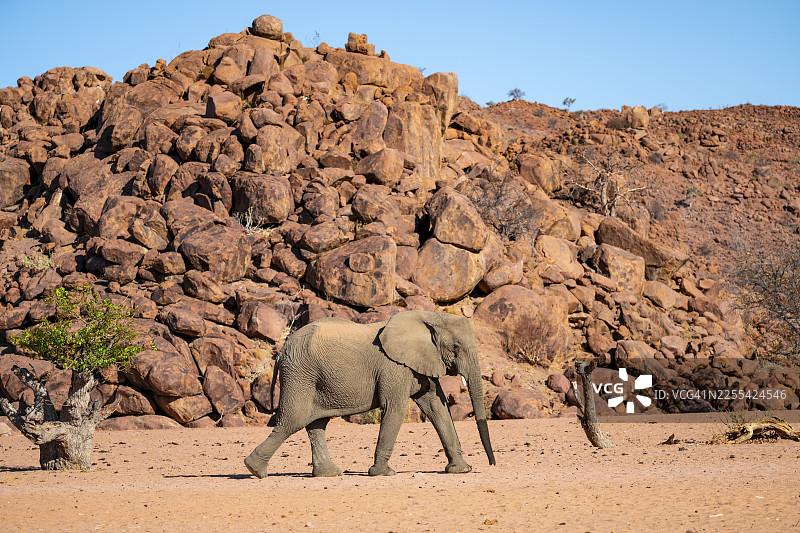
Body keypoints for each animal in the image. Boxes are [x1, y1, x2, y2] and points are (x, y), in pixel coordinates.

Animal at [244, 310, 496, 478]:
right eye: (456, 346)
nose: (492, 464)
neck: (430, 317)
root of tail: (281, 351)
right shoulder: (394, 366)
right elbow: (394, 408)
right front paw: (383, 473)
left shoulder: (419, 363)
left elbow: (437, 407)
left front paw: (461, 470)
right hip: (300, 373)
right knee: (293, 420)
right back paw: (254, 470)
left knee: (316, 423)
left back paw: (329, 474)